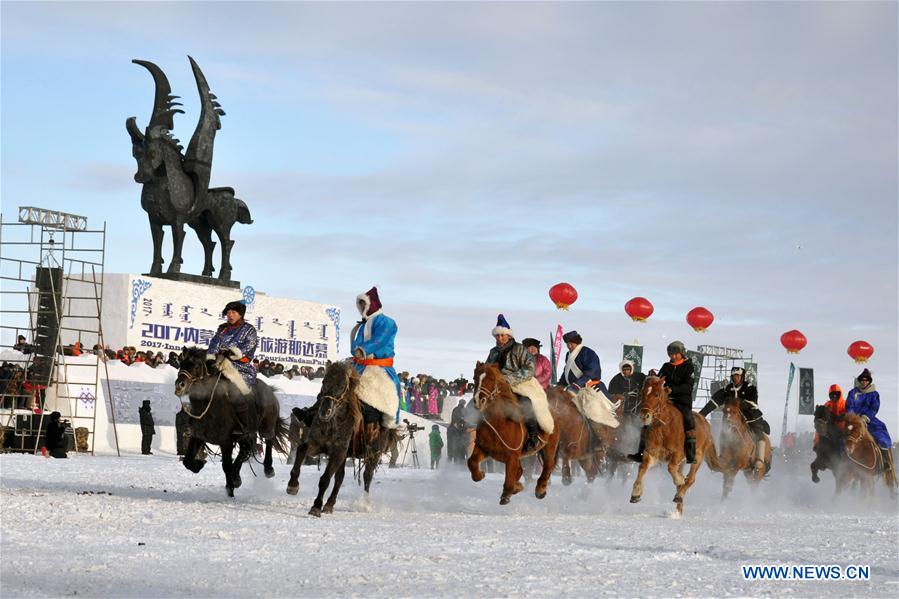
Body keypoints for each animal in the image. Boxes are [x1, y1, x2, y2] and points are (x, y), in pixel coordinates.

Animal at [174, 346, 290, 496]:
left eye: (197, 366)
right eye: (181, 364)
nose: (180, 385)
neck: (208, 406)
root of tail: (269, 390)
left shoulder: (226, 442)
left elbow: (226, 466)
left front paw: (230, 490)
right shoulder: (197, 436)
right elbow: (187, 461)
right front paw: (199, 465)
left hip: (266, 426)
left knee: (268, 440)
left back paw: (268, 469)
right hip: (246, 435)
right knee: (246, 451)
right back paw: (237, 478)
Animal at [284, 364, 398, 516]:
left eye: (342, 386)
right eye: (324, 381)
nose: (324, 411)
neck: (333, 422)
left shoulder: (338, 452)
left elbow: (325, 479)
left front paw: (316, 506)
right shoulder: (317, 444)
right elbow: (302, 449)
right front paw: (293, 485)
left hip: (374, 454)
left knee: (367, 476)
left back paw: (364, 504)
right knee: (340, 477)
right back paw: (329, 504)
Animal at [468, 364, 560, 504]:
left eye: (492, 379)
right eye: (475, 378)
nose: (479, 400)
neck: (499, 422)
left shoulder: (512, 456)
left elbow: (509, 479)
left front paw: (507, 494)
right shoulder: (484, 449)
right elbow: (471, 462)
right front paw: (480, 475)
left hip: (549, 446)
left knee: (548, 465)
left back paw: (540, 490)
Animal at [624, 380, 724, 516]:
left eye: (657, 394)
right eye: (642, 393)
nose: (645, 416)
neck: (663, 427)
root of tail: (706, 423)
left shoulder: (678, 454)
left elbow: (671, 468)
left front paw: (680, 480)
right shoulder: (652, 453)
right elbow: (642, 467)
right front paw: (635, 494)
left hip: (697, 457)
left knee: (691, 479)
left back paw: (679, 494)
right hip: (682, 463)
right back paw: (678, 510)